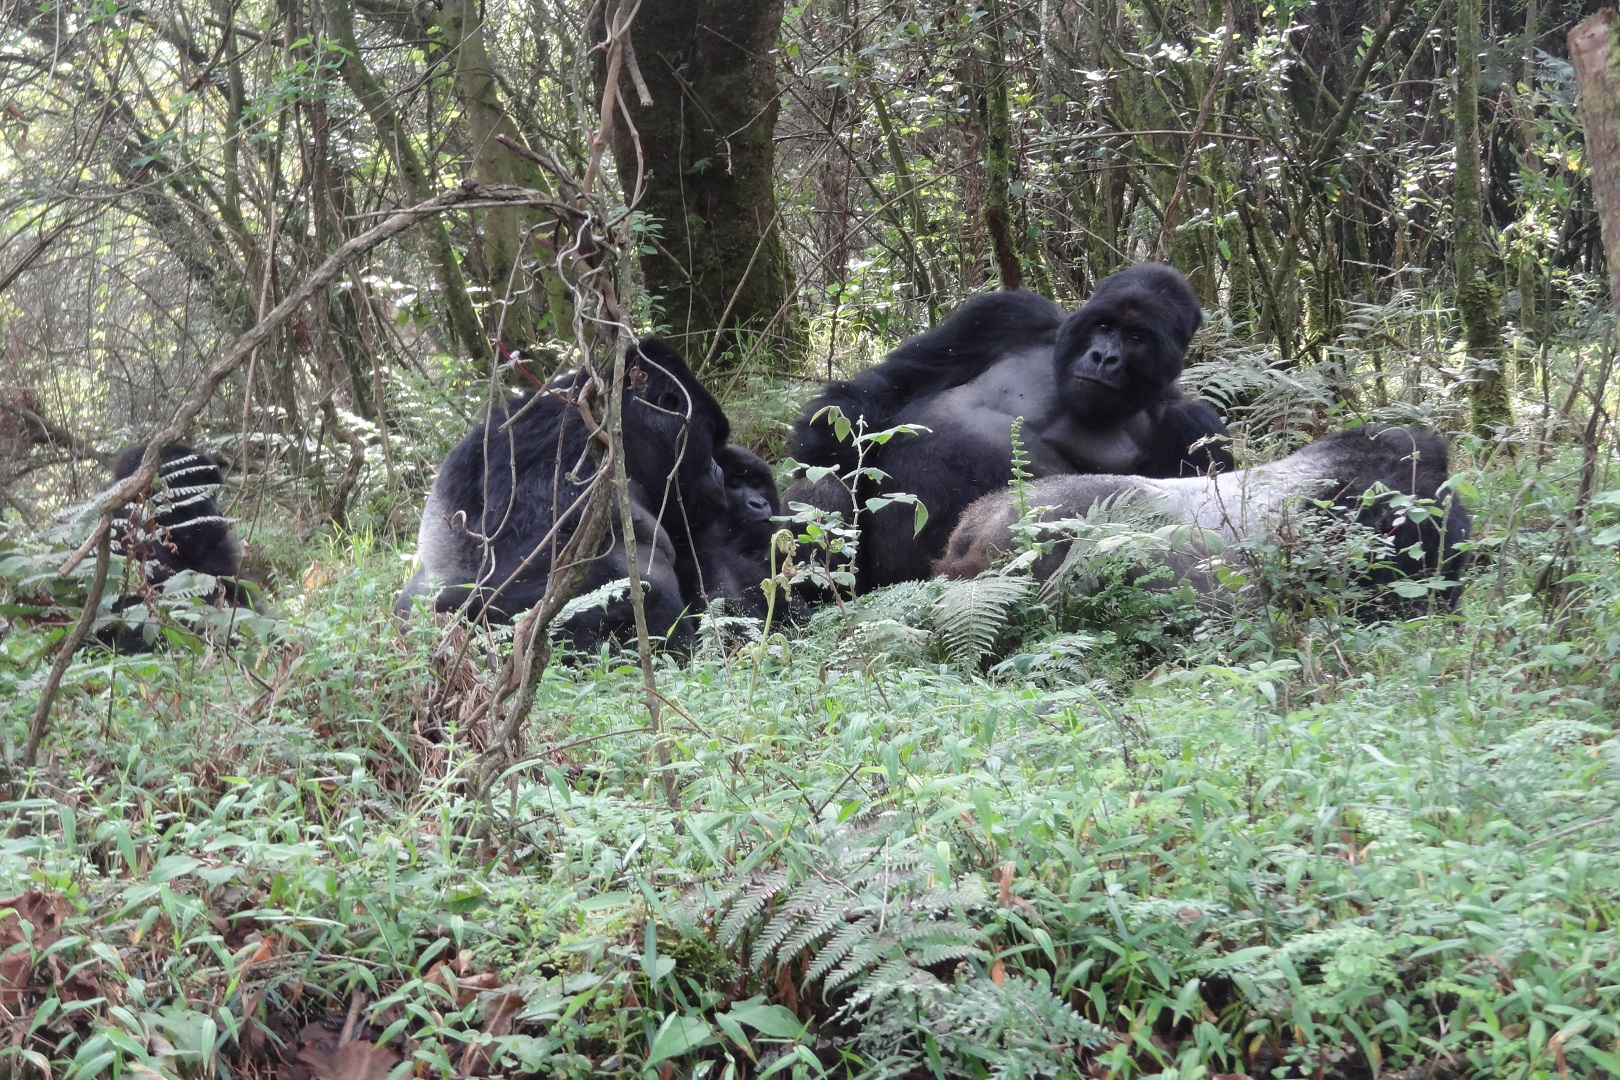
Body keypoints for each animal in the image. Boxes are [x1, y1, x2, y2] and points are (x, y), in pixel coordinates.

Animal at [784, 263, 1224, 592]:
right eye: (1104, 326)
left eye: (1136, 336)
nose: (1104, 357)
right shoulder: (1007, 314)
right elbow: (890, 387)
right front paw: (825, 442)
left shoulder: (1193, 428)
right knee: (823, 482)